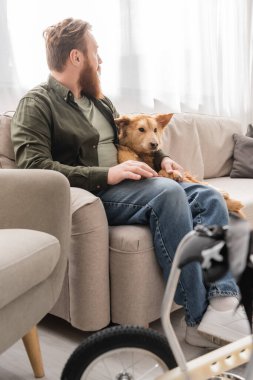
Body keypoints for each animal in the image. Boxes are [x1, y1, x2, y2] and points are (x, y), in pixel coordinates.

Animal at [115, 113, 245, 217]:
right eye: (141, 129)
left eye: (155, 130)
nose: (155, 144)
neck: (141, 153)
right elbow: (158, 172)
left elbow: (166, 170)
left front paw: (172, 173)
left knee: (199, 182)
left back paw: (222, 192)